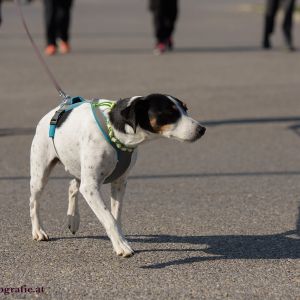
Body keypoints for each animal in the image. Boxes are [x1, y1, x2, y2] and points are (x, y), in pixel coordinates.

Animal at [29, 93, 205, 255]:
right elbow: (109, 219)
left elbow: (115, 216)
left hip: (79, 168)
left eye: (186, 109)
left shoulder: (120, 182)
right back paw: (38, 231)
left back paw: (73, 219)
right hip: (40, 173)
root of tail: (53, 112)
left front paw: (119, 239)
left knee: (72, 185)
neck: (115, 131)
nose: (202, 129)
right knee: (34, 202)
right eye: (170, 112)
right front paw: (121, 245)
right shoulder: (91, 187)